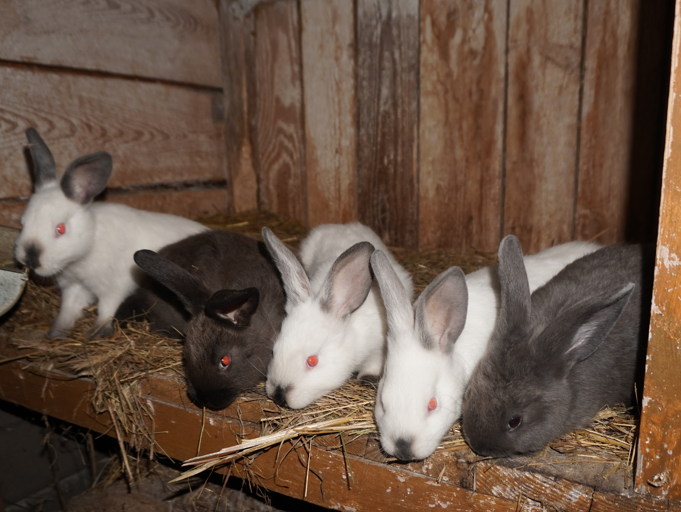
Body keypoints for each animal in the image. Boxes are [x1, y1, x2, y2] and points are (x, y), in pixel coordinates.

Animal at [13, 128, 207, 339]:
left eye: (60, 229)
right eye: (23, 222)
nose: (30, 260)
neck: (86, 251)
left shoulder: (115, 289)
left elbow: (106, 310)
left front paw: (95, 333)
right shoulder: (74, 287)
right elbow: (68, 310)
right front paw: (56, 333)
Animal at [261, 222, 413, 410]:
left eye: (312, 361)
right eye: (274, 352)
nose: (279, 395)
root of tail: (343, 225)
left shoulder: (379, 344)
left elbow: (374, 362)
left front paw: (367, 378)